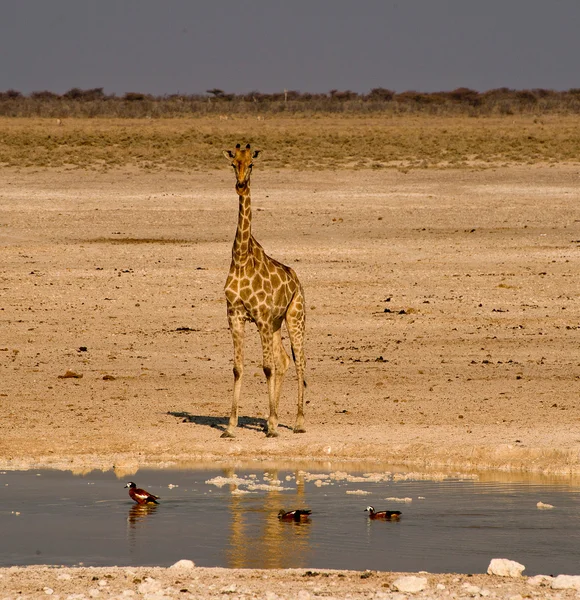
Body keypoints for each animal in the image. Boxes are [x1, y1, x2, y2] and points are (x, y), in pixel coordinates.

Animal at [220, 143, 306, 438]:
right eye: (233, 163)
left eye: (252, 164)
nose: (240, 185)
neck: (240, 259)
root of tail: (297, 281)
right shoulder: (236, 316)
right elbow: (238, 368)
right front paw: (231, 426)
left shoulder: (261, 317)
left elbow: (267, 367)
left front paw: (271, 426)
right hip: (277, 323)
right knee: (284, 361)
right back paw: (276, 418)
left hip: (294, 317)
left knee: (299, 362)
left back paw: (298, 422)